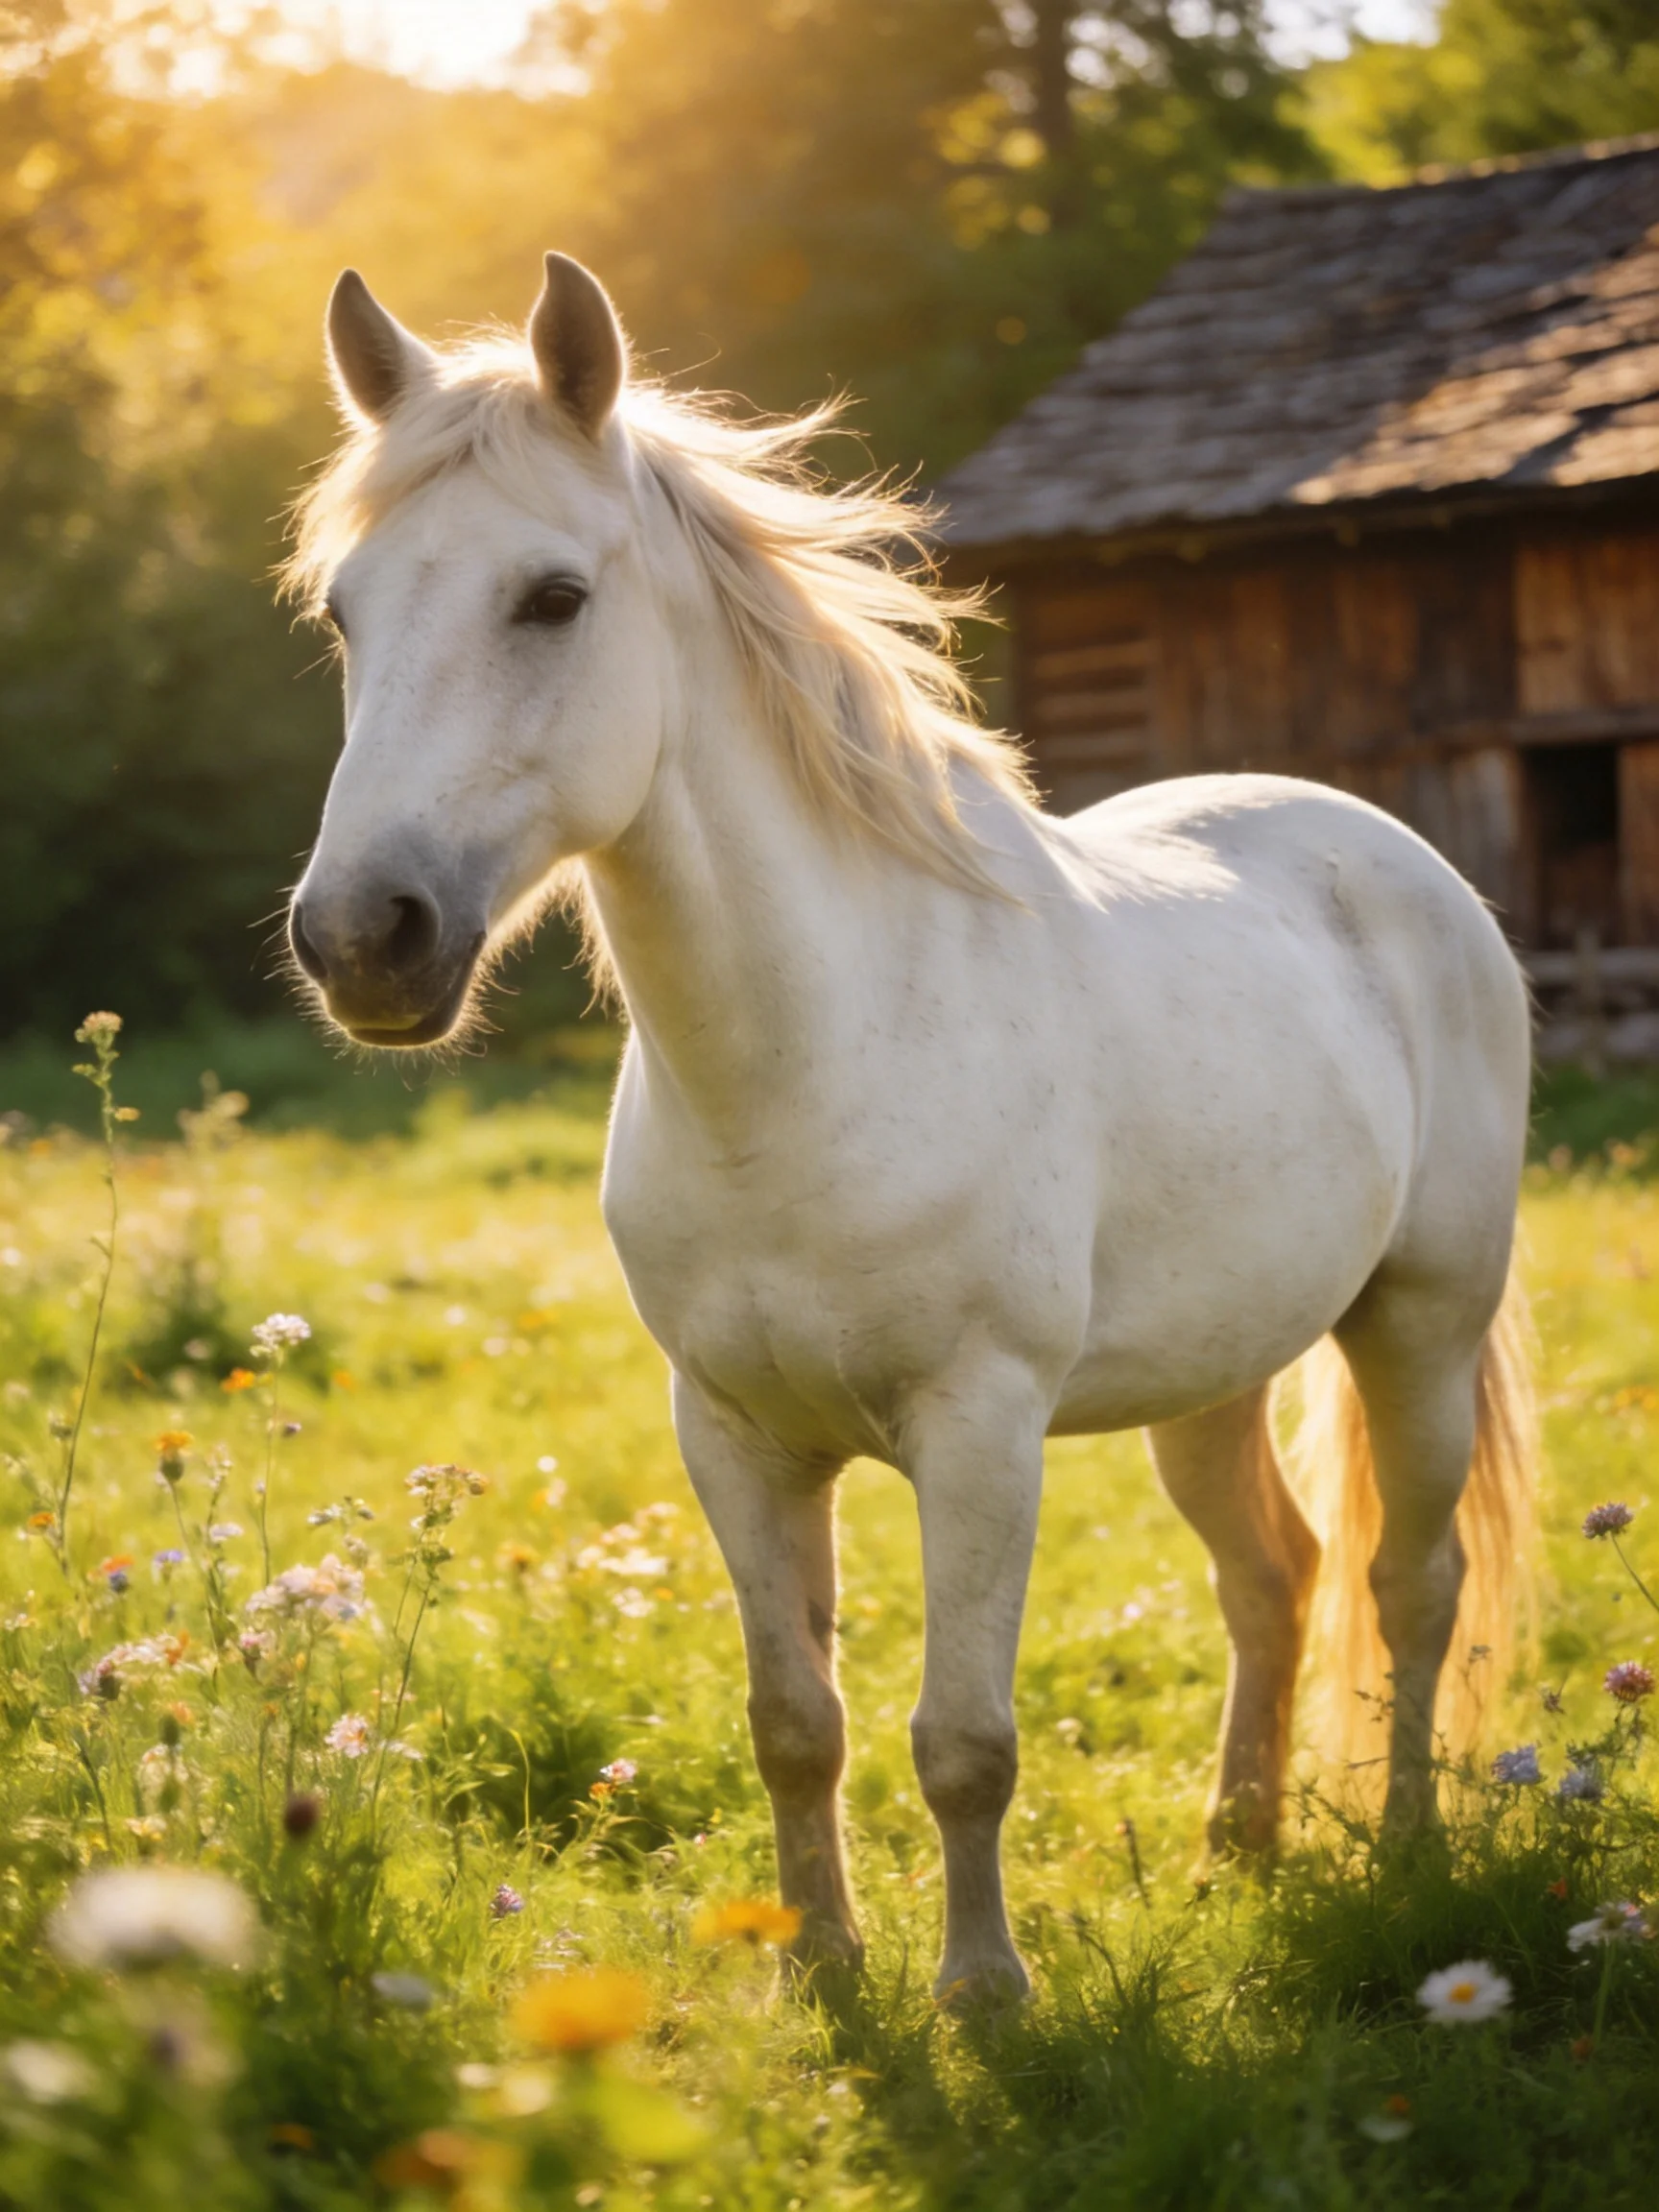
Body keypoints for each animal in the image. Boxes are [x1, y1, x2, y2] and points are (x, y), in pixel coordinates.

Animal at [284, 253, 1536, 2004]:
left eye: (552, 597)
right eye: (346, 612)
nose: (361, 939)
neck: (808, 1064)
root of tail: (1397, 857)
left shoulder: (979, 1429)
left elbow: (963, 1741)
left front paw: (982, 1995)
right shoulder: (731, 1436)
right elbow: (794, 1721)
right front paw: (820, 1969)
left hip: (1420, 1320)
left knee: (1409, 1587)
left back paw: (1406, 1850)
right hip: (1213, 1371)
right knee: (1270, 1577)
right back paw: (1236, 1850)